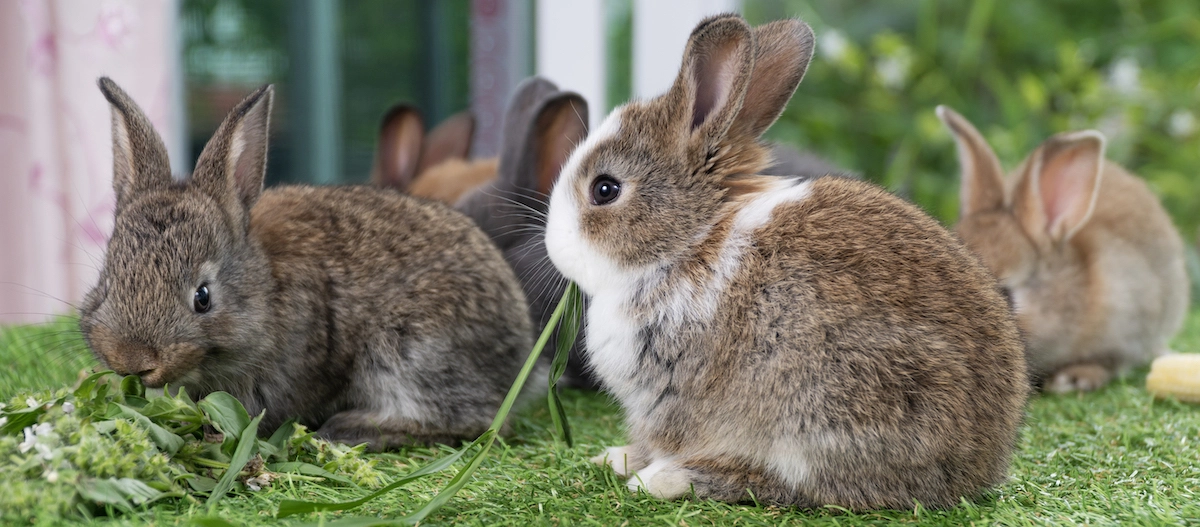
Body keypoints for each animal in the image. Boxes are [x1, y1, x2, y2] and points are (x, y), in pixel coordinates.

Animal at [78, 78, 534, 451]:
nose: (132, 360)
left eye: (202, 297)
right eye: (108, 281)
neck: (265, 288)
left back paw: (352, 429)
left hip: (410, 348)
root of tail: (520, 343)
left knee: (477, 419)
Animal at [541, 15, 1029, 510]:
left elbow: (663, 438)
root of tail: (976, 468)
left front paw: (638, 469)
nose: (552, 246)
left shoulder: (669, 394)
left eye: (605, 189)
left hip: (824, 414)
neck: (691, 243)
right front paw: (614, 458)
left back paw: (667, 480)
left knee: (796, 487)